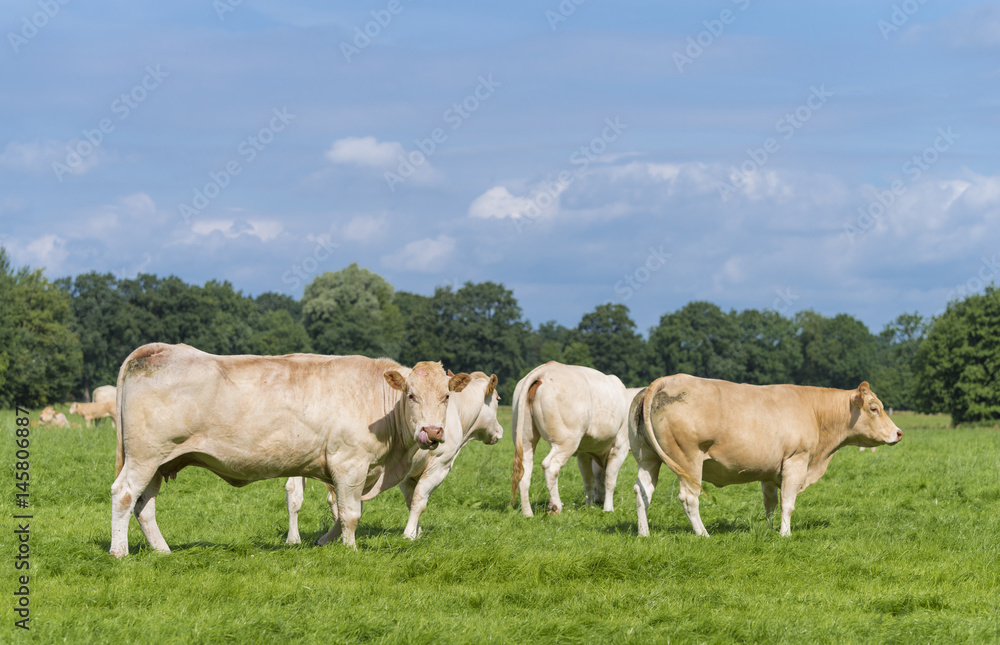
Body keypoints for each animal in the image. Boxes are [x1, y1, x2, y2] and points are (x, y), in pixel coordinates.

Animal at [111, 342, 470, 560]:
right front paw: (350, 550)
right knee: (125, 494)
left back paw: (162, 551)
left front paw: (329, 542)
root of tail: (163, 349)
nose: (433, 432)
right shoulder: (349, 463)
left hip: (160, 461)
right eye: (411, 395)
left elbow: (343, 511)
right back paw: (119, 552)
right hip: (144, 456)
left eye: (446, 396)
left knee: (145, 505)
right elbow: (350, 513)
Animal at [288, 372, 508, 544]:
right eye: (498, 398)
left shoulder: (407, 474)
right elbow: (419, 500)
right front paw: (409, 534)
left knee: (295, 494)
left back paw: (294, 538)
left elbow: (410, 501)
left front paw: (417, 532)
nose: (500, 431)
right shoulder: (440, 466)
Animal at [512, 360, 628, 516]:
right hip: (566, 441)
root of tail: (546, 369)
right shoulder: (620, 446)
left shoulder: (584, 452)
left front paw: (589, 506)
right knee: (550, 466)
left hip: (526, 437)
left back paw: (528, 513)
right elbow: (610, 480)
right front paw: (608, 509)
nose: (599, 501)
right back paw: (555, 507)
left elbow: (589, 480)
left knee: (524, 469)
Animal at [632, 374, 908, 536]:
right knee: (689, 498)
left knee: (642, 491)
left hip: (648, 458)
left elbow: (771, 504)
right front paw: (786, 535)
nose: (898, 433)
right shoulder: (796, 462)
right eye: (874, 408)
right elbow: (788, 503)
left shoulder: (769, 470)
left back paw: (644, 533)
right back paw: (703, 534)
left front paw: (768, 530)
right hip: (688, 461)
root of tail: (667, 380)